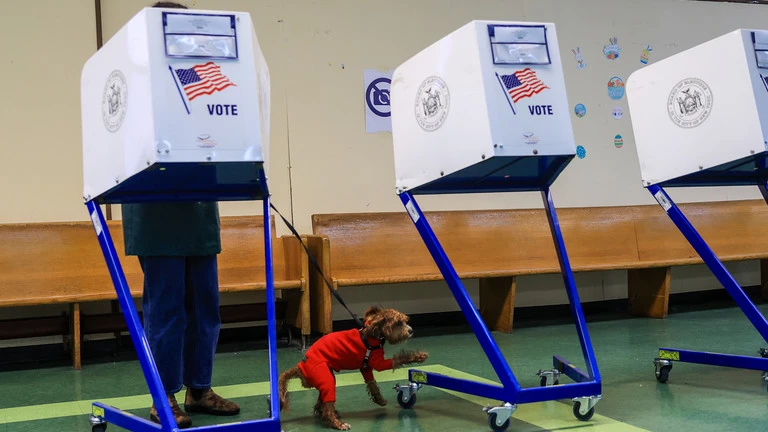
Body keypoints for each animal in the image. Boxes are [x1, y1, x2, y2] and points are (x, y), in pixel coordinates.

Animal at [280, 306, 428, 430]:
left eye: (404, 321)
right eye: (397, 323)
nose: (411, 330)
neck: (373, 334)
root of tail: (300, 366)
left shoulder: (366, 368)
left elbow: (372, 384)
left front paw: (379, 400)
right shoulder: (379, 364)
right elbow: (400, 358)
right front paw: (419, 356)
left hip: (327, 377)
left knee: (321, 403)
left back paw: (328, 414)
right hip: (326, 379)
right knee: (327, 404)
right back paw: (337, 423)